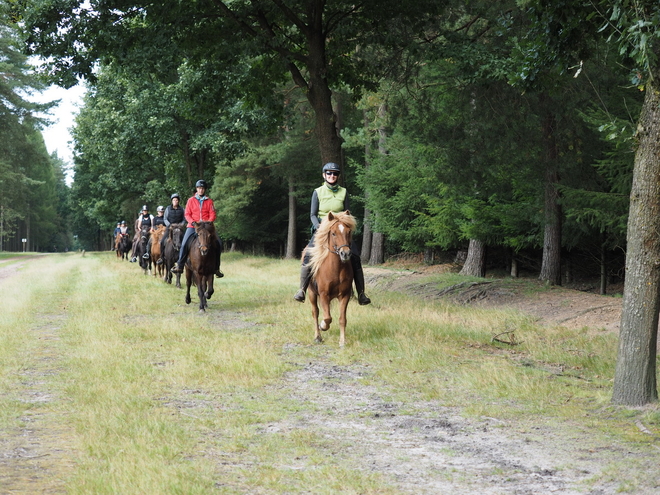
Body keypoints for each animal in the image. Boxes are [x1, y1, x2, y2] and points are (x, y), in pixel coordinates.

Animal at [306, 211, 356, 346]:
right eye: (333, 233)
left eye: (348, 232)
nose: (345, 253)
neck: (336, 269)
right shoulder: (324, 294)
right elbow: (327, 317)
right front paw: (323, 326)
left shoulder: (344, 295)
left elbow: (342, 319)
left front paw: (342, 341)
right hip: (311, 293)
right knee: (315, 312)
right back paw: (318, 336)